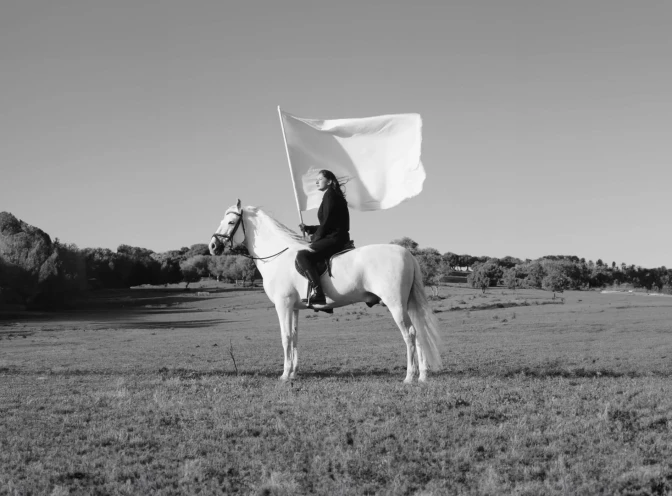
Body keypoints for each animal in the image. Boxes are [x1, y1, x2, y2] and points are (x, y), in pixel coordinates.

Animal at [209, 200, 443, 383]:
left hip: (395, 305)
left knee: (409, 334)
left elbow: (285, 337)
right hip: (407, 305)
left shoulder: (283, 305)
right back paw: (422, 376)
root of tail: (407, 253)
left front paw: (284, 374)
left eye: (231, 222)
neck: (278, 256)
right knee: (418, 333)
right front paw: (293, 373)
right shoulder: (294, 308)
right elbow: (294, 337)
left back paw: (409, 376)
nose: (212, 246)